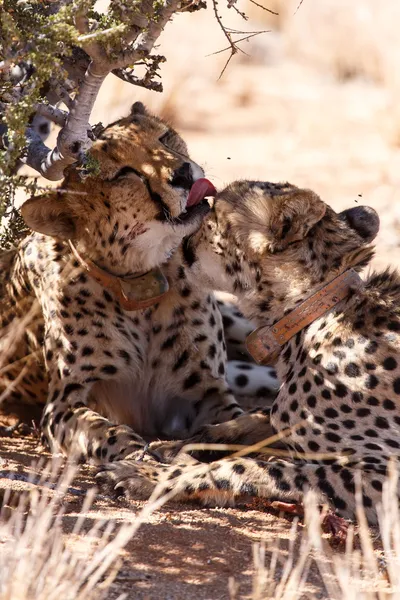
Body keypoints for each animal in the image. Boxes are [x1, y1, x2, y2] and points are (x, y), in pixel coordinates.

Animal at [0, 103, 278, 466]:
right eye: (125, 174)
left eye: (164, 137)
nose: (184, 174)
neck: (140, 279)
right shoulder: (63, 404)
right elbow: (106, 433)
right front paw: (140, 458)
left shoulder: (209, 392)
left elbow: (234, 419)